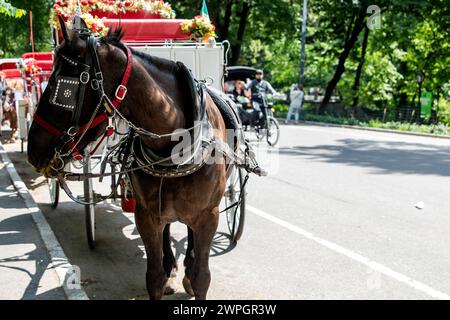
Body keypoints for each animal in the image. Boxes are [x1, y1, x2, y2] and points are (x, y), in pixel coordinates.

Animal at [27, 19, 232, 300]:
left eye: (62, 89)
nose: (32, 149)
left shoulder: (208, 216)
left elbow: (202, 277)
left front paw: (192, 276)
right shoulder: (146, 215)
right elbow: (154, 277)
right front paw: (166, 274)